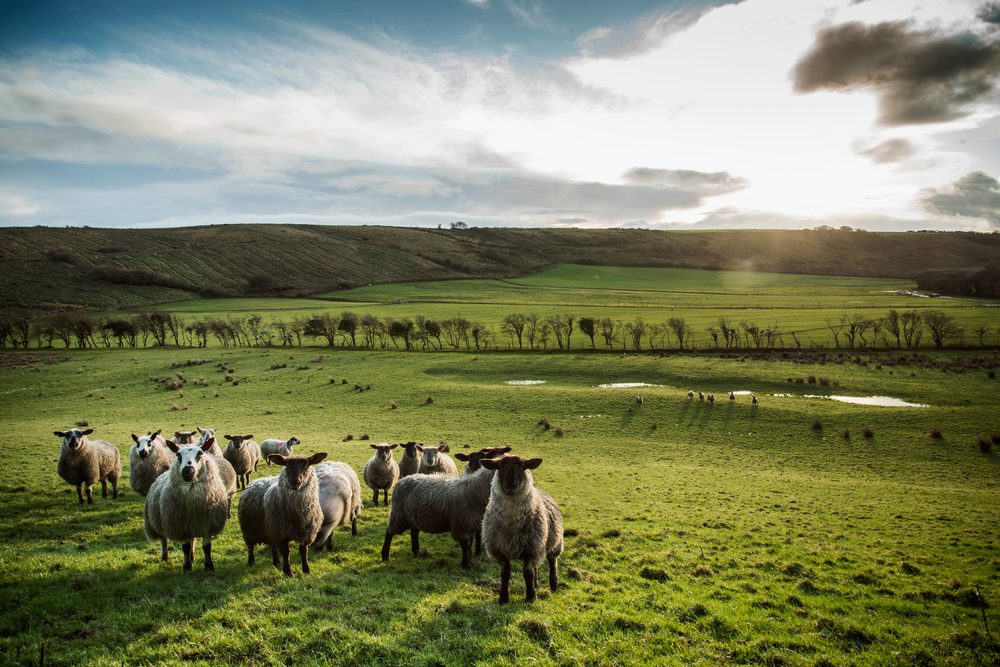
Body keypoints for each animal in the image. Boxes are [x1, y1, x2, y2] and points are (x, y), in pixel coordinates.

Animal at [143, 440, 232, 572]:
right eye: (178, 455)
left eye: (200, 454)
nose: (188, 472)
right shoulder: (180, 527)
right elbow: (185, 547)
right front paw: (187, 568)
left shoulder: (207, 524)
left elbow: (207, 547)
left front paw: (209, 566)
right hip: (159, 522)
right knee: (164, 540)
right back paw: (165, 556)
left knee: (192, 540)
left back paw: (192, 556)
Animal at [482, 454, 564, 604]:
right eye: (499, 466)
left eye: (523, 466)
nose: (511, 485)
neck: (511, 523)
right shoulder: (501, 550)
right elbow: (505, 574)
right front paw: (503, 598)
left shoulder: (530, 549)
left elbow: (527, 573)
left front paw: (531, 597)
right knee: (536, 567)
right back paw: (536, 584)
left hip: (555, 542)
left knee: (552, 562)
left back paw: (554, 584)